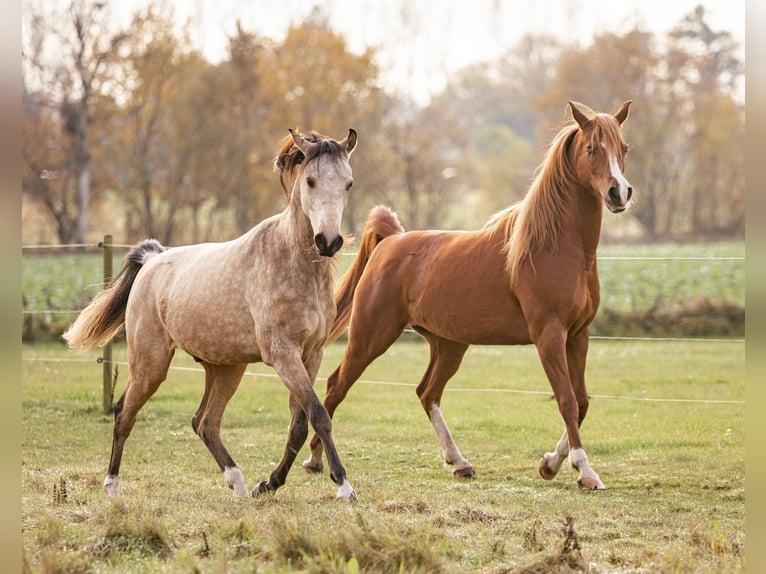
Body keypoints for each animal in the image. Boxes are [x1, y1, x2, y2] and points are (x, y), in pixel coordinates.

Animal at [63, 128, 359, 501]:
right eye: (310, 181)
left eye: (348, 183)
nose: (329, 241)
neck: (291, 261)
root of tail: (153, 260)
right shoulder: (283, 354)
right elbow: (318, 415)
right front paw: (344, 486)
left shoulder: (311, 354)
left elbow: (299, 424)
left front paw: (270, 483)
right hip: (150, 366)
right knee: (124, 414)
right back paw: (112, 485)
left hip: (225, 368)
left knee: (205, 422)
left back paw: (239, 484)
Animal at [303, 101, 633, 490]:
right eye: (591, 148)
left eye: (624, 148)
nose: (619, 193)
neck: (555, 247)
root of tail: (391, 240)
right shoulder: (549, 335)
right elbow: (566, 400)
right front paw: (584, 471)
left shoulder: (578, 336)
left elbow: (581, 402)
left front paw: (549, 464)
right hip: (371, 337)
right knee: (337, 385)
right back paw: (314, 459)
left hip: (448, 345)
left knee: (427, 392)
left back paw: (459, 462)